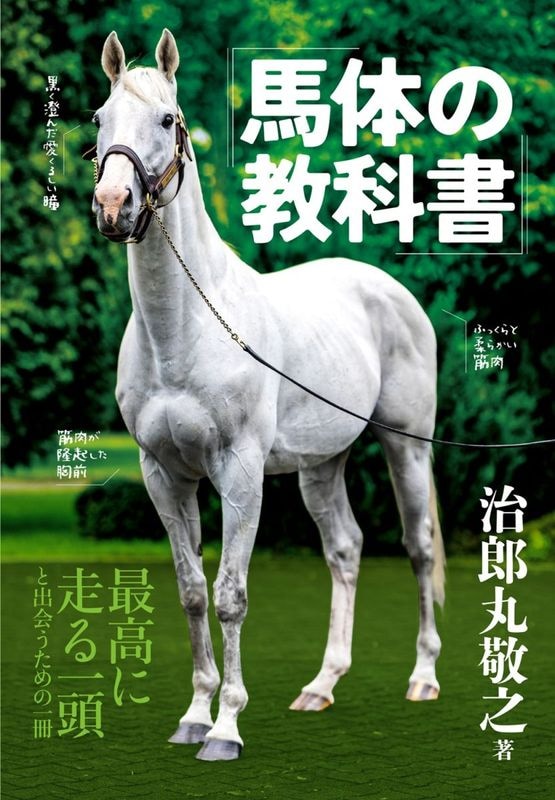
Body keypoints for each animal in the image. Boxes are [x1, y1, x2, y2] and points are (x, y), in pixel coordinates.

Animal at [92, 29, 445, 761]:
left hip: (406, 446)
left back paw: (423, 678)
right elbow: (192, 593)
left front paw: (226, 729)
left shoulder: (240, 473)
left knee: (418, 546)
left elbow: (231, 595)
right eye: (99, 120)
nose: (113, 207)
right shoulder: (164, 475)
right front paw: (193, 717)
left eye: (165, 120)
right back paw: (321, 685)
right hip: (321, 465)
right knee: (346, 548)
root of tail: (388, 289)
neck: (184, 332)